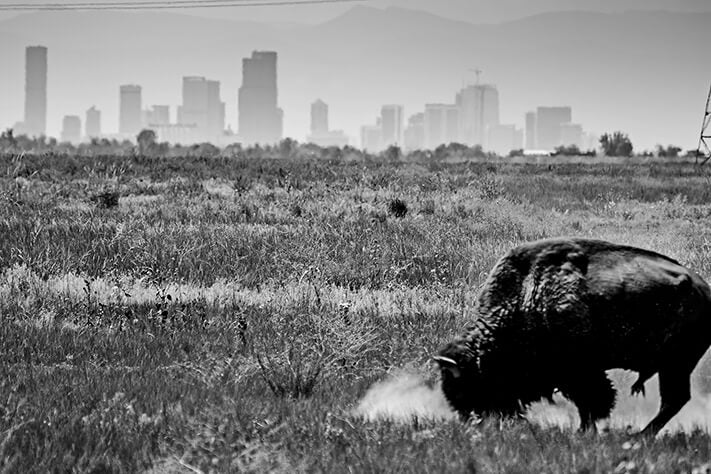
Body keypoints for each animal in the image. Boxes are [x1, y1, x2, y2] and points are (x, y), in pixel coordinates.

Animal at [434, 239, 711, 436]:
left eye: (465, 386)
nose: (473, 421)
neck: (528, 293)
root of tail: (704, 289)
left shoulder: (581, 372)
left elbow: (593, 401)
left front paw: (584, 432)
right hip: (673, 366)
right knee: (674, 401)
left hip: (676, 364)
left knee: (673, 400)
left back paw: (641, 436)